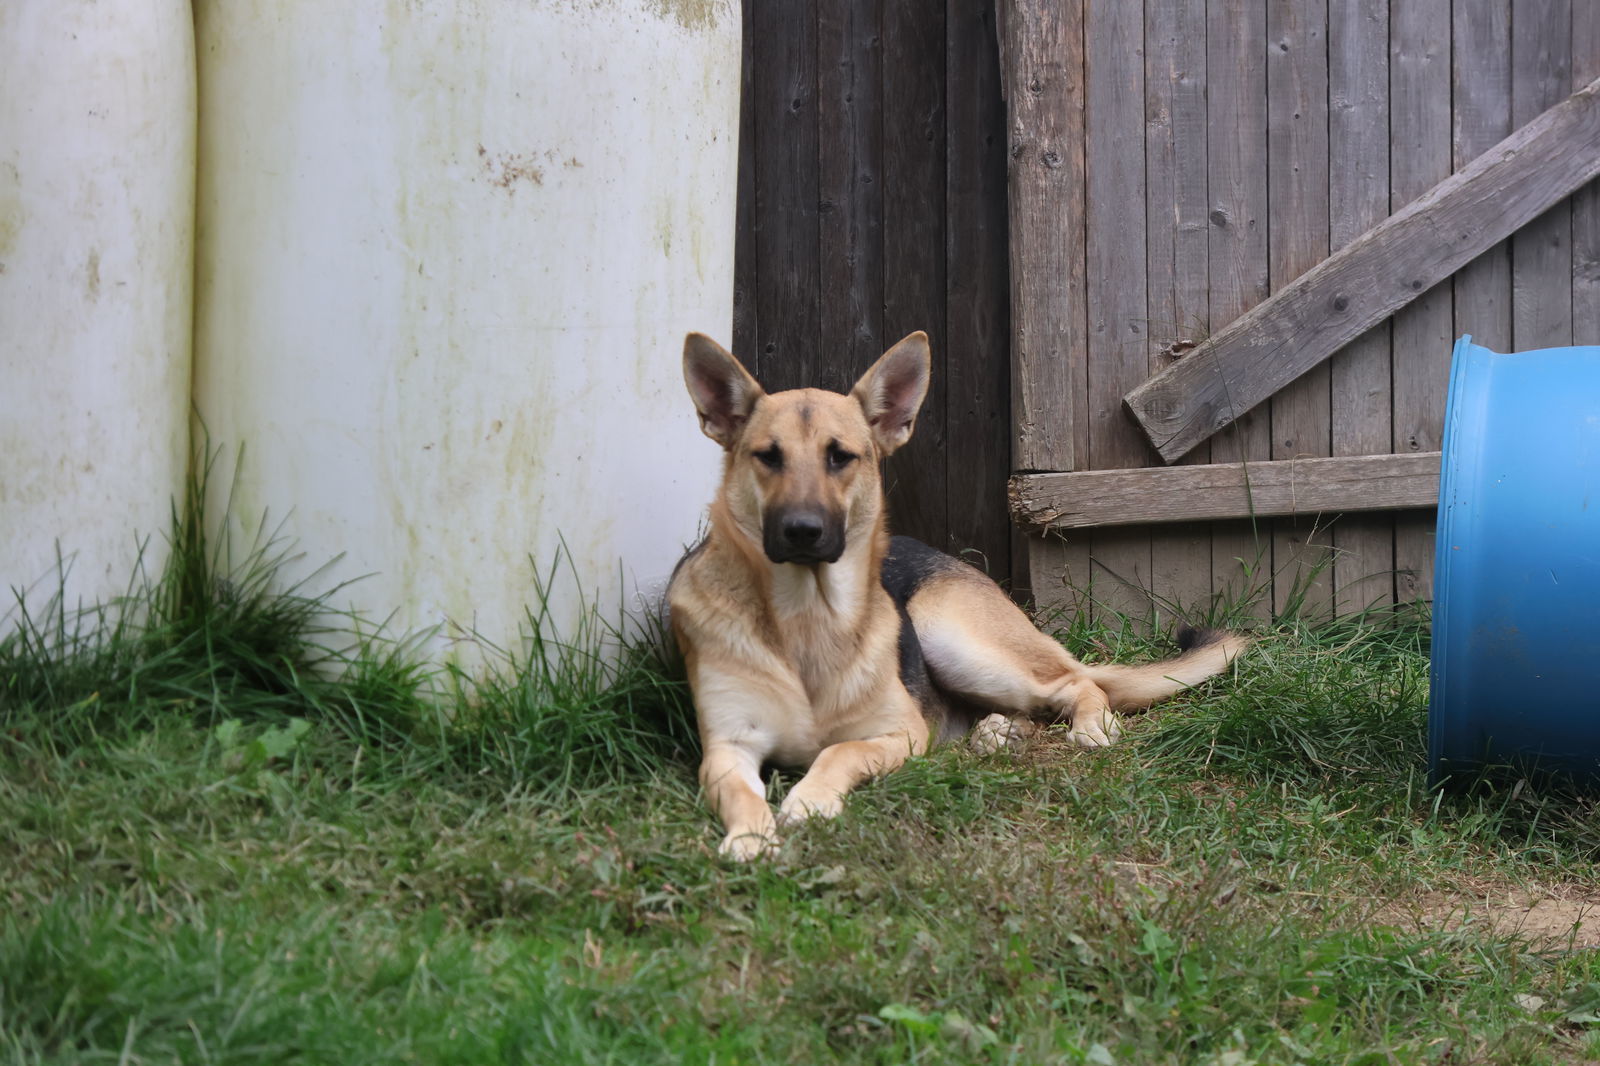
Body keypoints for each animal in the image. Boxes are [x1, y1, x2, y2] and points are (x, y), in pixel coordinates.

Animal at [665, 332, 1248, 857]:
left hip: (950, 636)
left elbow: (839, 752)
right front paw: (750, 836)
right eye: (767, 456)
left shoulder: (899, 733)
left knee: (1075, 682)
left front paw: (809, 799)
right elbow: (741, 793)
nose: (802, 532)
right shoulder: (726, 749)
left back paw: (1087, 724)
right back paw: (995, 734)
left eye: (840, 457)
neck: (807, 617)